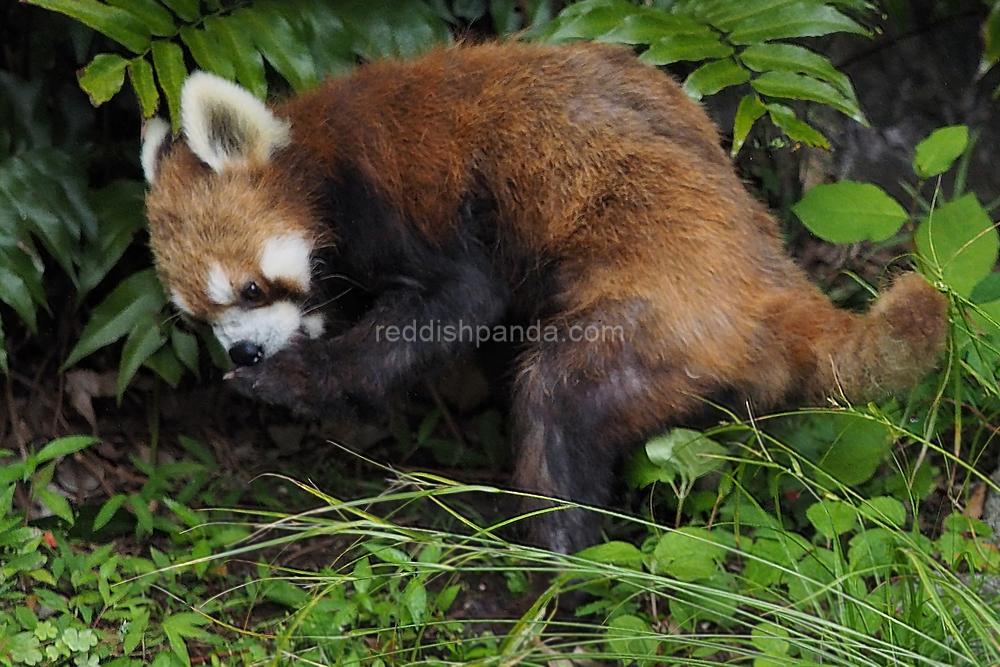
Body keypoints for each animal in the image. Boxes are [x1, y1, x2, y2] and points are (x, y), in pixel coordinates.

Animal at [141, 40, 944, 552]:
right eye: (200, 315)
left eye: (251, 286)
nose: (246, 349)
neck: (317, 150)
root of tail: (770, 279)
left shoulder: (395, 201)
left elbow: (460, 303)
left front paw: (292, 383)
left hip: (659, 316)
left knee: (558, 400)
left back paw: (558, 560)